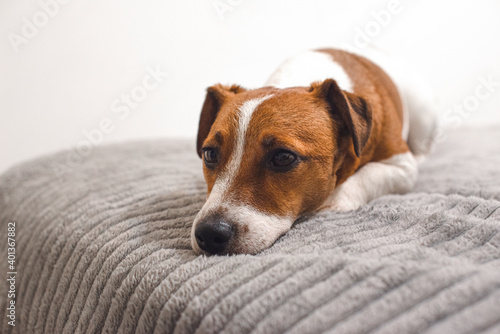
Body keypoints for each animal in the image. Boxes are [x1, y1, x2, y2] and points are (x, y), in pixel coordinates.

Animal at [191, 47, 438, 256]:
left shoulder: (402, 167)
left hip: (423, 116)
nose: (210, 233)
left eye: (283, 157)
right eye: (210, 154)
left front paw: (334, 200)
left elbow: (367, 176)